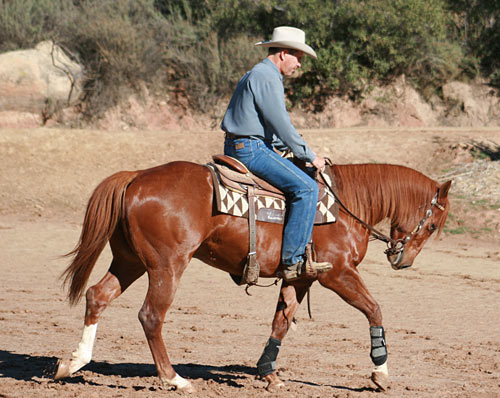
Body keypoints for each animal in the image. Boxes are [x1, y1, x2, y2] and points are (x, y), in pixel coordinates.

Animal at [55, 161, 454, 392]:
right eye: (433, 225)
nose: (403, 260)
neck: (344, 205)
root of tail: (135, 178)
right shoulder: (339, 273)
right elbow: (374, 310)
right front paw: (380, 372)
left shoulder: (299, 278)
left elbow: (281, 322)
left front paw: (268, 372)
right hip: (167, 266)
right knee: (151, 316)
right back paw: (174, 378)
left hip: (130, 262)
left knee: (97, 296)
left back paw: (72, 363)